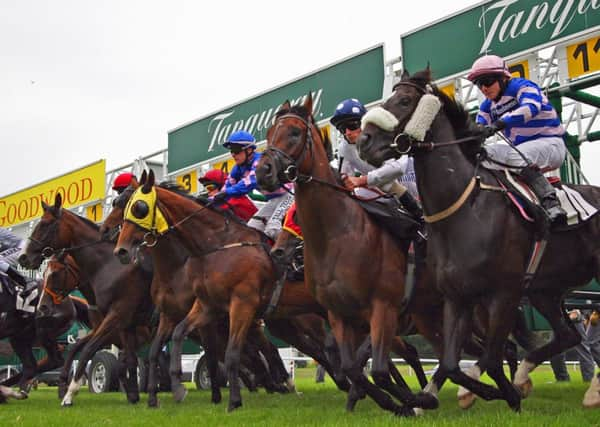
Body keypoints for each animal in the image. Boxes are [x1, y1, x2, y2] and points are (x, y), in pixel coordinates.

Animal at [19, 195, 155, 408]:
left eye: (46, 224)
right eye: (46, 274)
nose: (23, 257)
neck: (109, 267)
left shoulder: (117, 318)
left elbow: (90, 350)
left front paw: (69, 393)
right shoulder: (117, 328)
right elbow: (82, 348)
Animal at [113, 173, 346, 412]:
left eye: (138, 208)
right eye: (120, 205)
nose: (121, 250)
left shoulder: (241, 304)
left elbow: (230, 353)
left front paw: (231, 400)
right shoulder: (201, 308)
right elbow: (174, 338)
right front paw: (171, 390)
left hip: (309, 316)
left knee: (324, 342)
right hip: (285, 321)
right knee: (308, 347)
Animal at [358, 67, 600, 412]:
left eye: (404, 100)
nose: (364, 141)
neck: (465, 211)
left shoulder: (503, 294)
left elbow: (490, 358)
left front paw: (503, 394)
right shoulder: (457, 296)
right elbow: (451, 364)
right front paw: (489, 390)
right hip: (545, 289)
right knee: (568, 337)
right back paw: (529, 378)